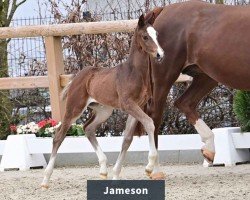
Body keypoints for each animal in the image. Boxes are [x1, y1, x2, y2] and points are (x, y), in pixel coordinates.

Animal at [41, 13, 165, 188]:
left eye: (156, 35)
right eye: (145, 36)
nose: (160, 54)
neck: (134, 73)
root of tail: (77, 76)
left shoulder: (138, 106)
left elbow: (127, 139)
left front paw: (116, 175)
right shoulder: (128, 104)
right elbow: (149, 123)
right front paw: (149, 167)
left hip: (103, 111)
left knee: (88, 128)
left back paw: (103, 170)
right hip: (75, 108)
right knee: (59, 135)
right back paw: (45, 180)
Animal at [143, 0, 250, 164]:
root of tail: (164, 9)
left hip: (206, 76)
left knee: (185, 102)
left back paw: (209, 151)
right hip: (164, 76)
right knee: (155, 114)